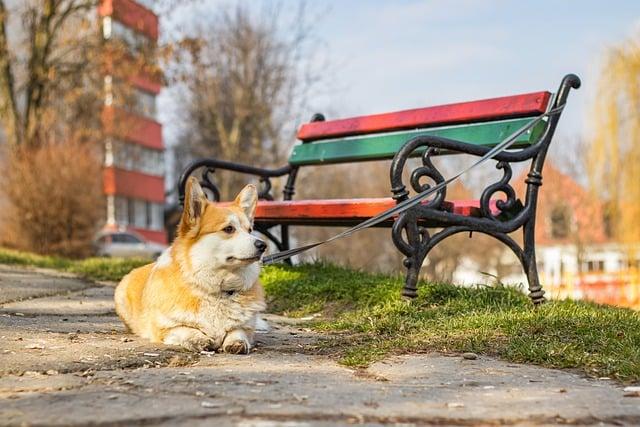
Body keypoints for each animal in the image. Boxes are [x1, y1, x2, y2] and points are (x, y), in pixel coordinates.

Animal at [114, 178, 266, 354]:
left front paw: (236, 343)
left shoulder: (245, 328)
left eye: (250, 230)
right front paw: (198, 339)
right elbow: (184, 329)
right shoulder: (165, 328)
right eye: (229, 229)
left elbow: (238, 331)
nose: (263, 245)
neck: (217, 290)